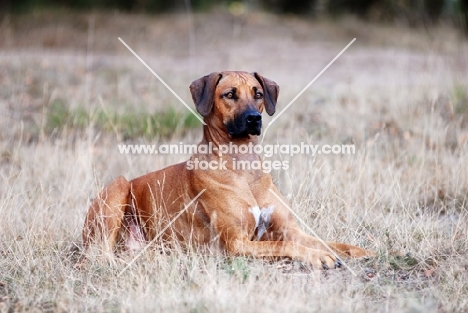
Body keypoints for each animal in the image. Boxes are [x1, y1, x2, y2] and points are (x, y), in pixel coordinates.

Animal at [82, 70, 374, 268]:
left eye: (258, 94)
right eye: (230, 94)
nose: (254, 118)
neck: (242, 162)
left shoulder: (290, 228)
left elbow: (322, 240)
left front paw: (356, 250)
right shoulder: (238, 243)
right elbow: (285, 244)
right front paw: (318, 256)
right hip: (118, 187)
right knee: (100, 253)